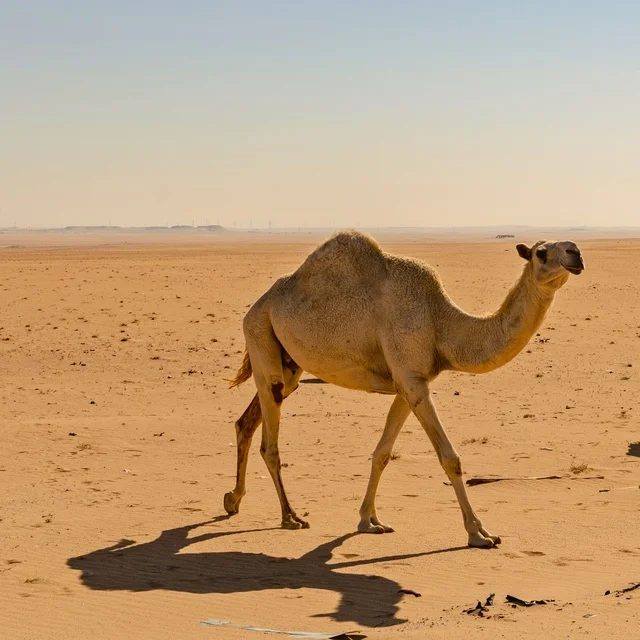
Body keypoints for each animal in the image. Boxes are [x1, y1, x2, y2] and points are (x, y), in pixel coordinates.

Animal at [224, 231, 584, 547]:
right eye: (541, 252)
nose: (576, 253)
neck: (440, 322)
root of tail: (259, 304)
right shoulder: (412, 379)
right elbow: (450, 458)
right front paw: (479, 533)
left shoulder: (409, 382)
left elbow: (382, 453)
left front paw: (369, 521)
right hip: (260, 336)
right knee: (270, 441)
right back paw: (290, 516)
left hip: (288, 364)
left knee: (247, 421)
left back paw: (233, 500)